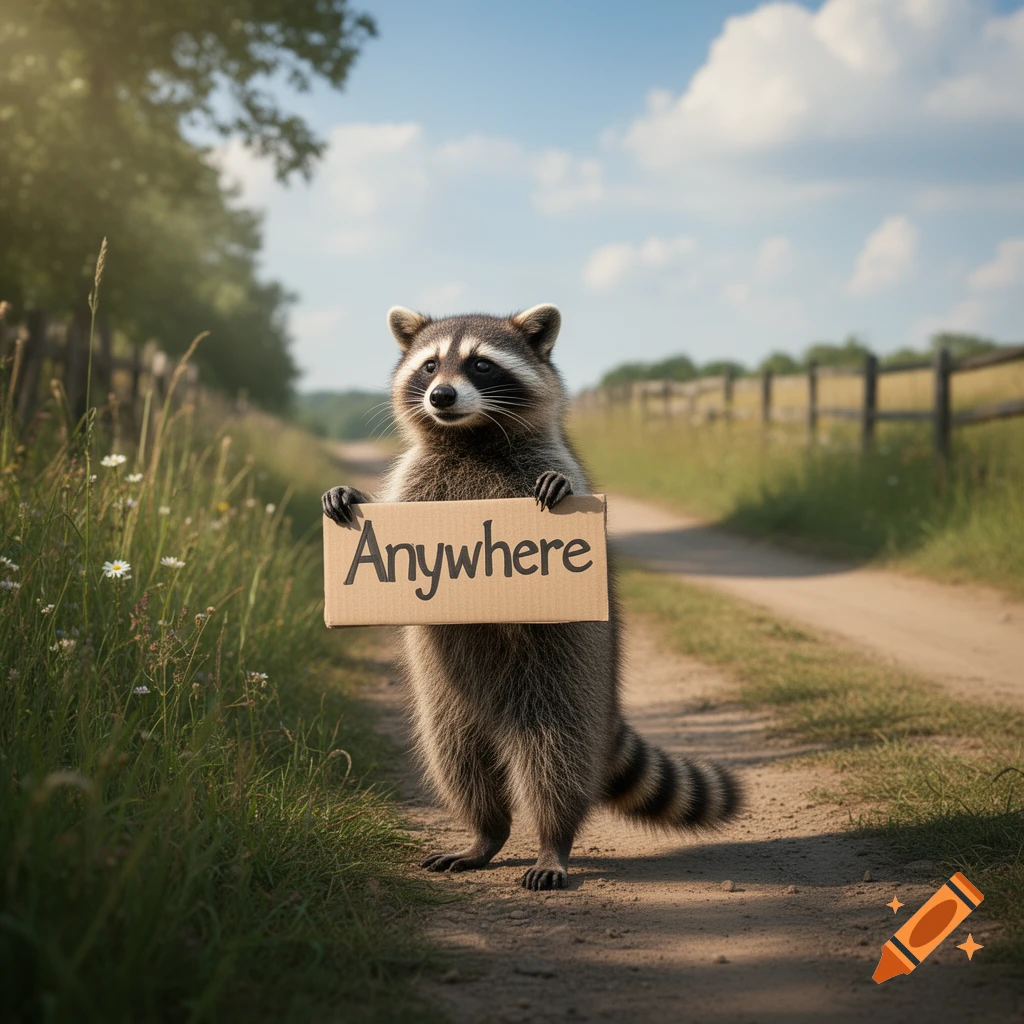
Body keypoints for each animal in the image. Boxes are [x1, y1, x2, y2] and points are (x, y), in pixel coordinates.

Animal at [322, 304, 742, 890]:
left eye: (480, 364)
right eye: (429, 366)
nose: (441, 397)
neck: (471, 434)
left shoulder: (553, 460)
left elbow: (563, 482)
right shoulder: (415, 481)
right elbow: (394, 496)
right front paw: (351, 493)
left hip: (562, 683)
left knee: (554, 763)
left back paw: (552, 841)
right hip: (446, 698)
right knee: (458, 760)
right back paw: (486, 832)